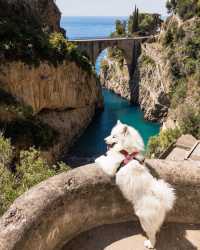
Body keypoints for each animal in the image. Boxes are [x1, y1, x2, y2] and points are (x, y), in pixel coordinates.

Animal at [95, 120, 175, 248]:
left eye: (114, 136)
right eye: (110, 134)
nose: (104, 140)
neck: (127, 151)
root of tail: (161, 200)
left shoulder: (111, 167)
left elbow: (102, 160)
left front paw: (98, 158)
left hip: (144, 219)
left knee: (152, 234)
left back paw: (150, 244)